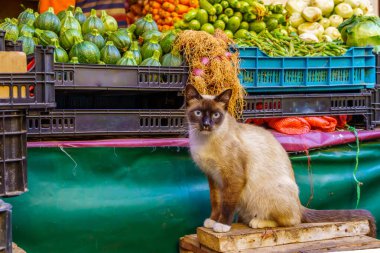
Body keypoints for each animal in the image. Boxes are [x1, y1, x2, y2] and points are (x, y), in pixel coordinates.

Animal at [186, 84, 376, 236]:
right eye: (198, 113)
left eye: (216, 115)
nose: (206, 124)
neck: (204, 140)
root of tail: (299, 204)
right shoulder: (213, 177)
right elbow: (216, 202)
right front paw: (212, 221)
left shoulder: (233, 178)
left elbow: (226, 205)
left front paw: (222, 225)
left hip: (268, 191)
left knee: (293, 220)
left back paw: (258, 222)